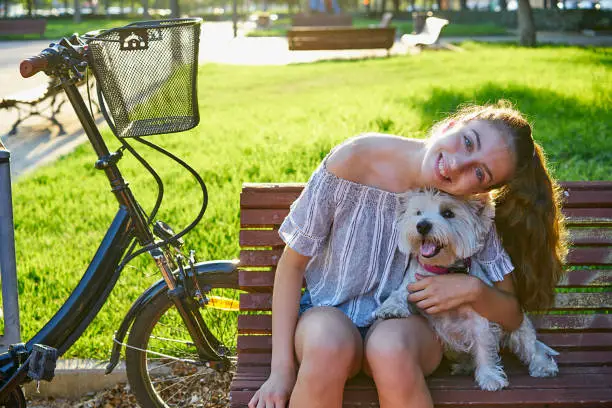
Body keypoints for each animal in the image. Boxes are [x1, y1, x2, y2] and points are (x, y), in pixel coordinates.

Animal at [372, 190, 560, 390]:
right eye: (418, 212)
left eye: (448, 213)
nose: (422, 225)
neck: (442, 270)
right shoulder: (413, 285)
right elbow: (399, 293)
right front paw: (390, 308)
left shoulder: (479, 319)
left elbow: (484, 347)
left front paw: (490, 377)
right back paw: (464, 366)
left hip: (518, 326)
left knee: (532, 346)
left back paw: (544, 367)